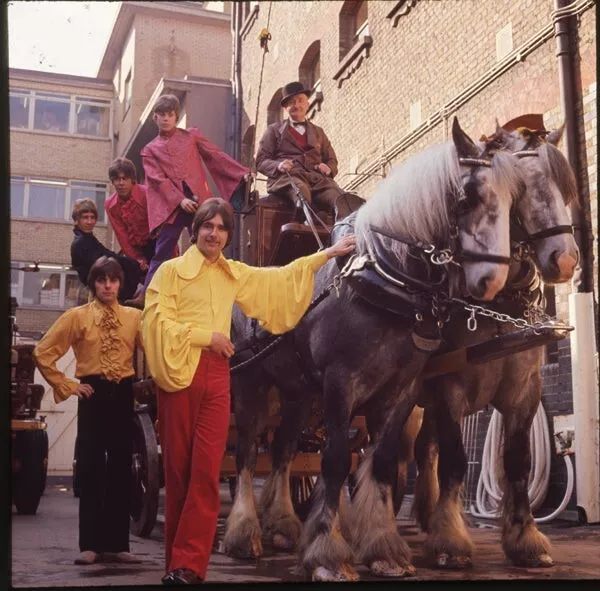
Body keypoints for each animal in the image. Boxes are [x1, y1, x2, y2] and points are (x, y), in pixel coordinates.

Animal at [223, 119, 516, 584]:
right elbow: (336, 460)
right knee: (249, 454)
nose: (491, 281)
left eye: (511, 198)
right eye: (467, 196)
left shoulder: (401, 390)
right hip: (251, 385)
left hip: (297, 394)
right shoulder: (341, 384)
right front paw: (328, 555)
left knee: (284, 451)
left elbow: (380, 463)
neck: (384, 283)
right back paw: (243, 533)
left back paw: (283, 524)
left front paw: (384, 550)